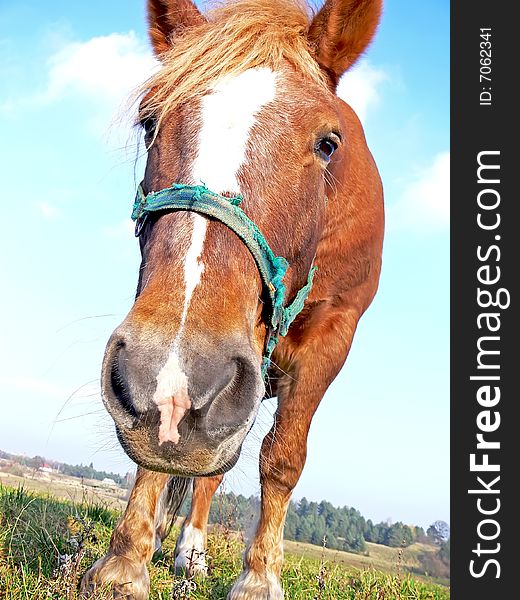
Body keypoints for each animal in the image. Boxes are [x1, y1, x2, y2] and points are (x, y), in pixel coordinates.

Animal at [79, 1, 384, 600]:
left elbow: (283, 458)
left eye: (328, 143)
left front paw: (259, 577)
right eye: (149, 122)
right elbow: (160, 457)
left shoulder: (332, 337)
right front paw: (126, 561)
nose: (176, 381)